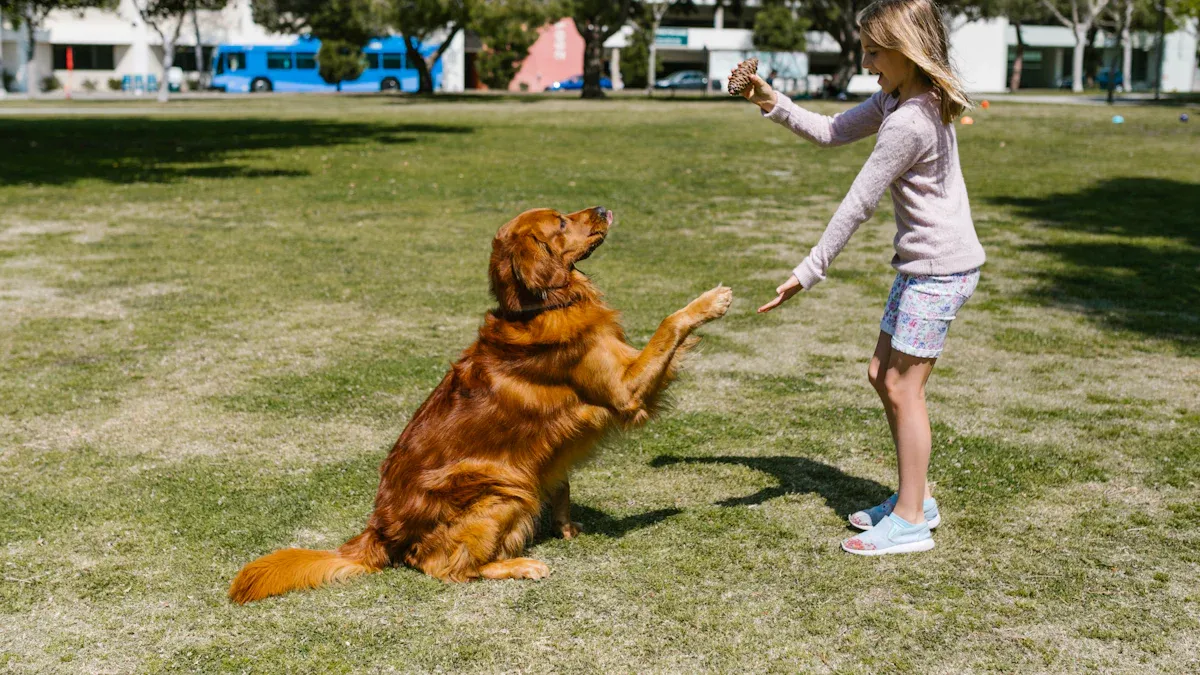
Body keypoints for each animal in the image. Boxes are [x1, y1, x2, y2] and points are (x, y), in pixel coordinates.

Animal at [226, 205, 729, 598]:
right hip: (501, 487)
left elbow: (562, 483)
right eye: (561, 221)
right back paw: (520, 565)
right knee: (441, 567)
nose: (604, 207)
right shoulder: (624, 390)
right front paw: (708, 301)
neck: (541, 305)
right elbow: (669, 324)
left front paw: (566, 527)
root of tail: (378, 532)